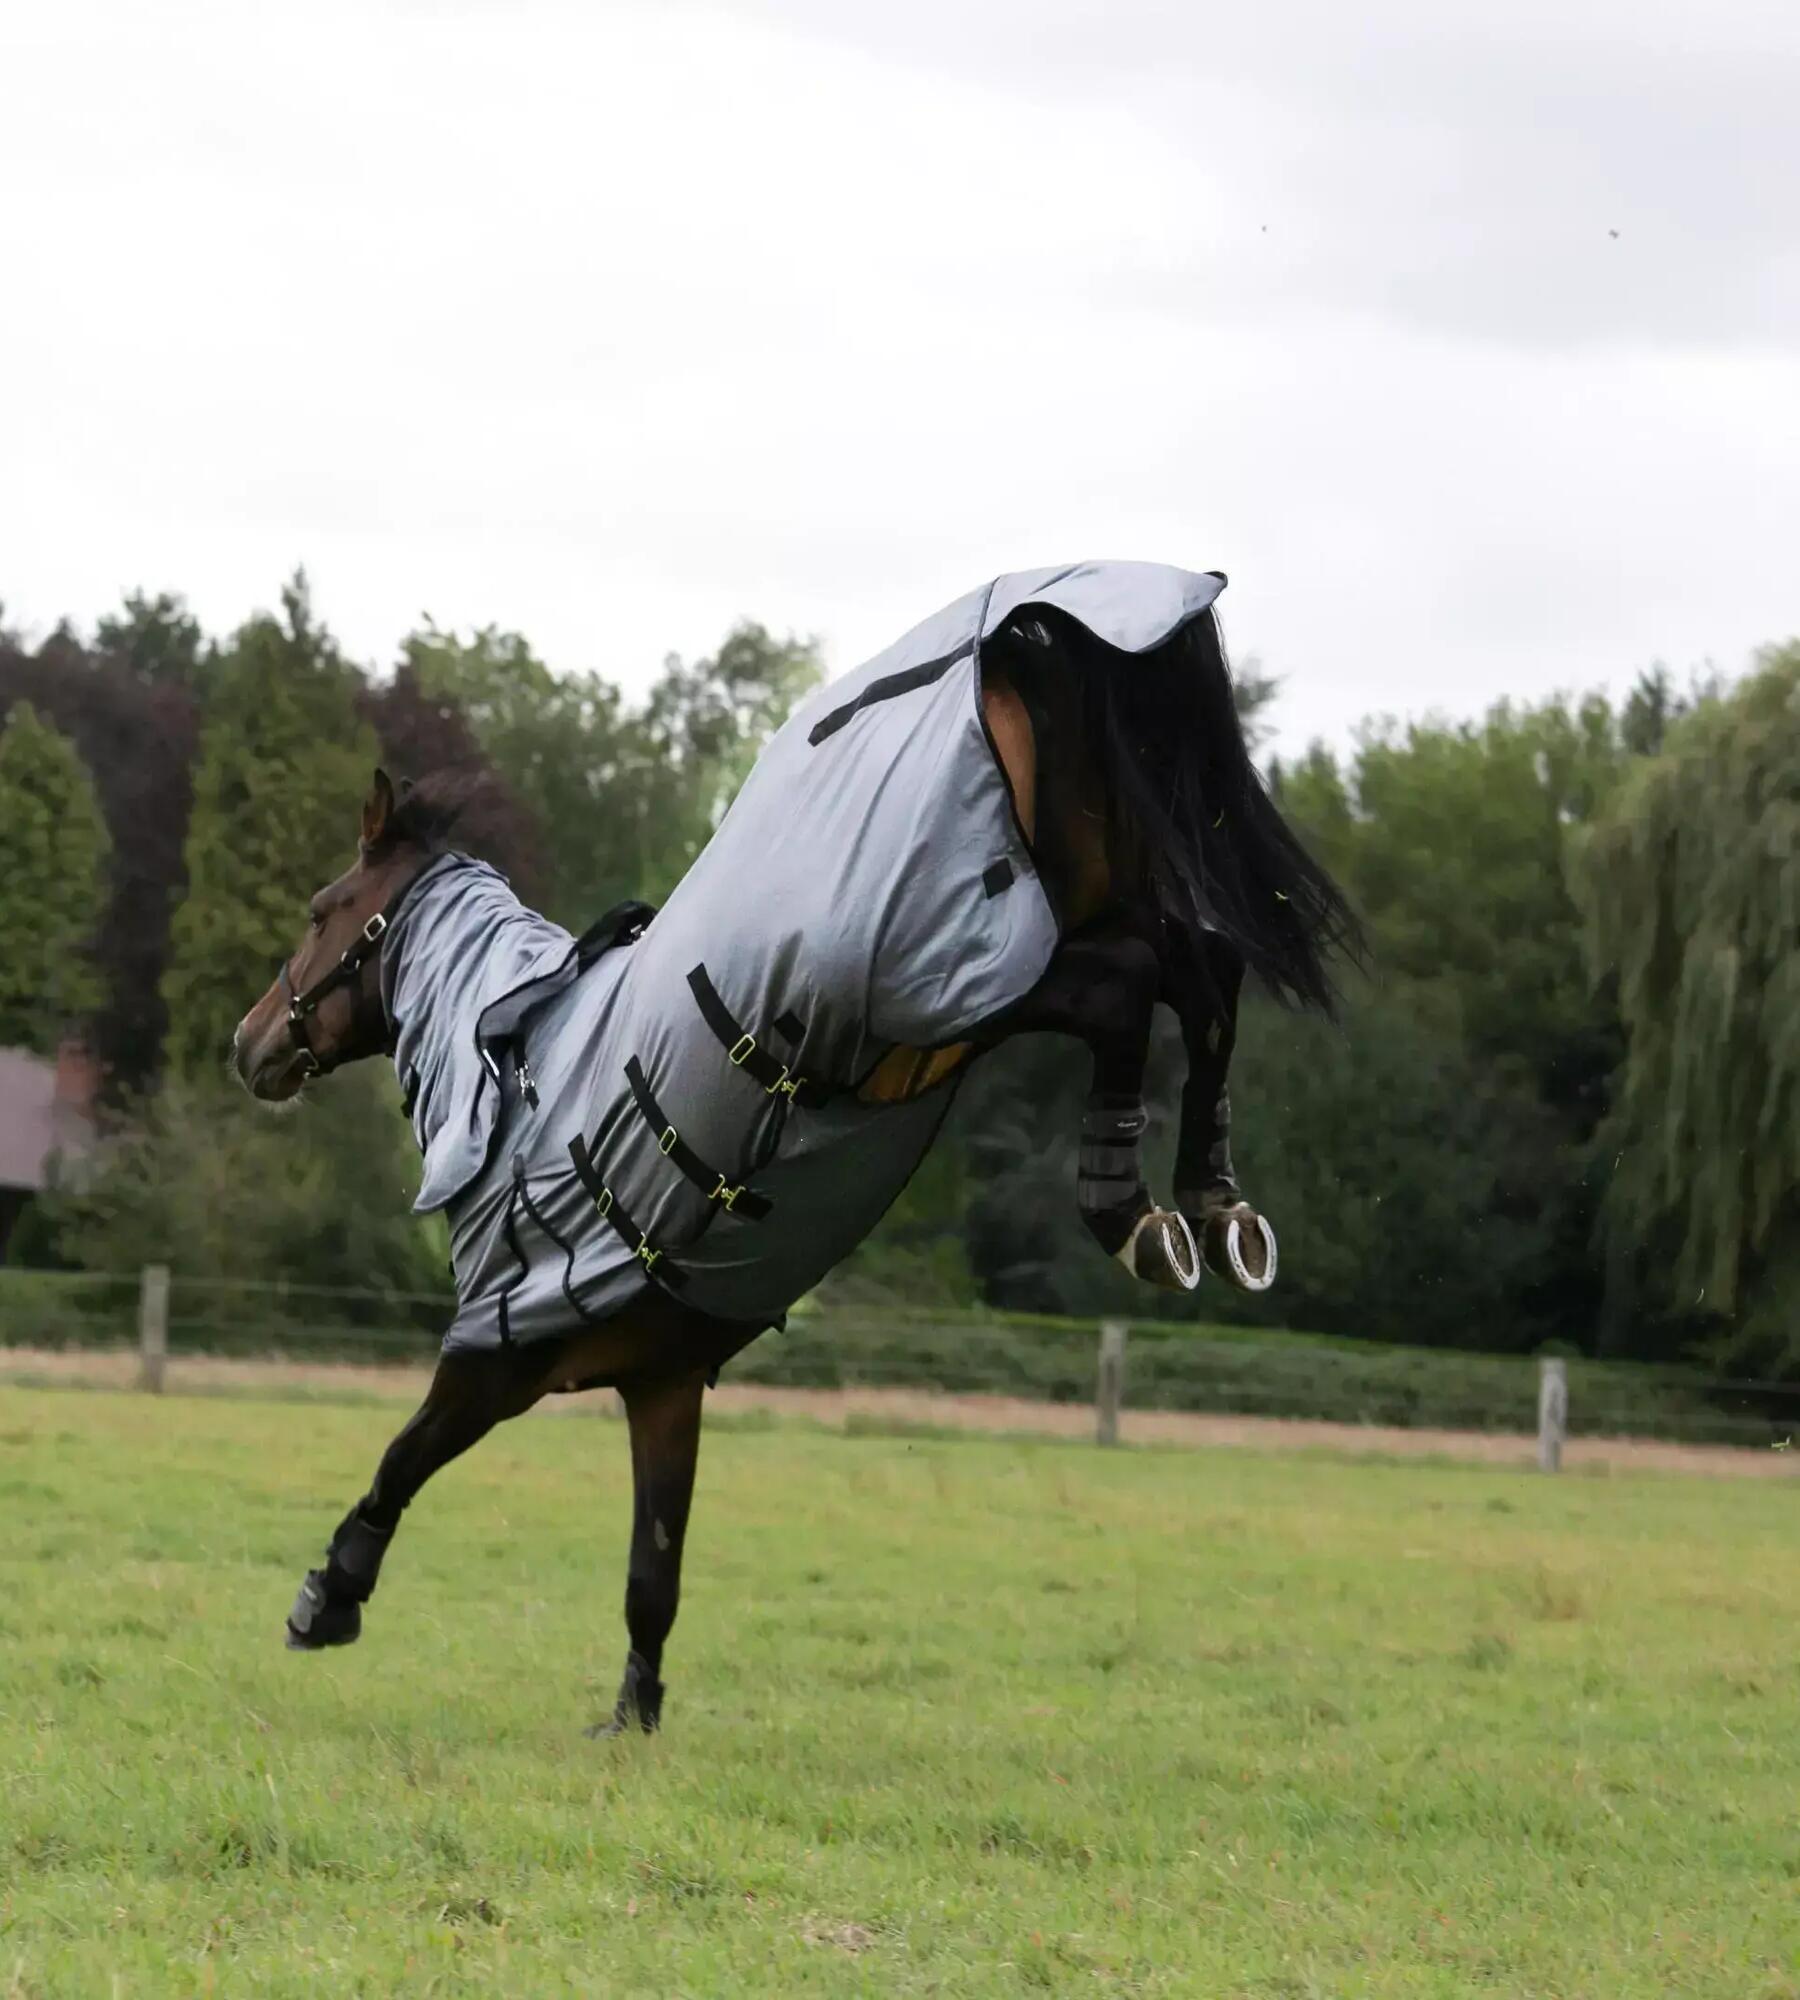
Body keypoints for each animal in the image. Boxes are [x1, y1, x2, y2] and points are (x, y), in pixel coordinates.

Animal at [232, 561, 1356, 1735]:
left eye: (321, 908)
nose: (249, 1044)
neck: (519, 1058)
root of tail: (1013, 638)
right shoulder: (664, 1381)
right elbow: (654, 1569)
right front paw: (631, 1718)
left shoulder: (499, 1351)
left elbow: (401, 1457)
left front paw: (327, 1596)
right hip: (1087, 905)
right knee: (1202, 968)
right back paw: (1212, 1208)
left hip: (977, 981)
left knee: (1137, 990)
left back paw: (1130, 1208)